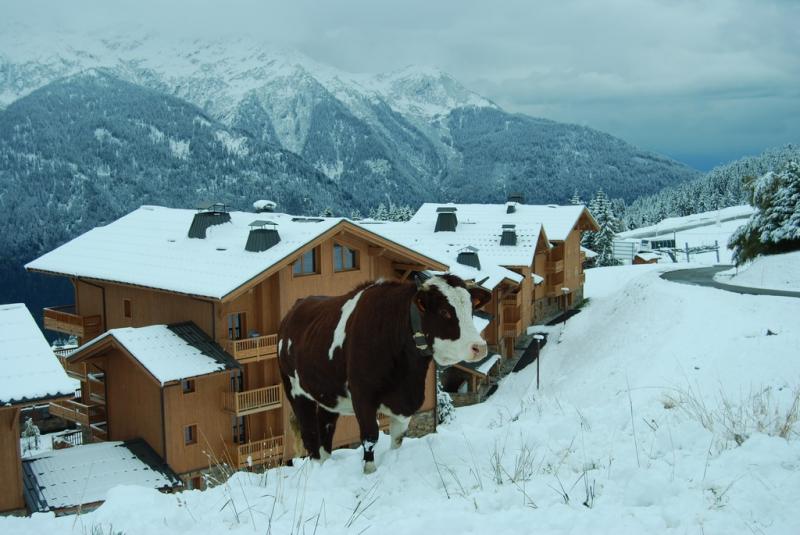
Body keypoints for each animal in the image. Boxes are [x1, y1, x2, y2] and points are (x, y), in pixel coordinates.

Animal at [278, 276, 494, 474]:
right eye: (444, 312)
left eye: (471, 310)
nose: (479, 347)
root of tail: (295, 307)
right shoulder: (363, 396)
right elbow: (370, 436)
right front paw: (370, 471)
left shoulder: (405, 402)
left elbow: (397, 438)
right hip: (295, 391)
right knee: (309, 432)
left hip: (329, 395)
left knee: (325, 428)